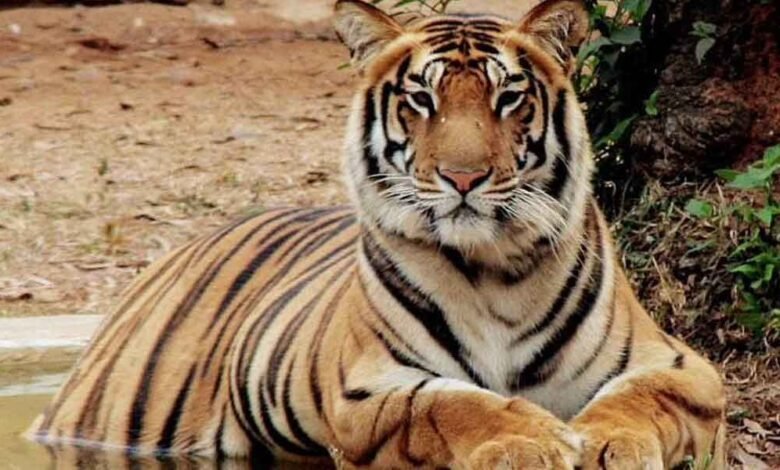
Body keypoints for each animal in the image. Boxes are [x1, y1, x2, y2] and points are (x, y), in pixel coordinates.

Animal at [29, 0, 727, 468]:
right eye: (421, 99)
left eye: (508, 98)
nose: (464, 177)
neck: (494, 267)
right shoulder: (367, 390)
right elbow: (452, 403)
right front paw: (528, 439)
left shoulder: (684, 367)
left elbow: (638, 400)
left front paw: (611, 441)